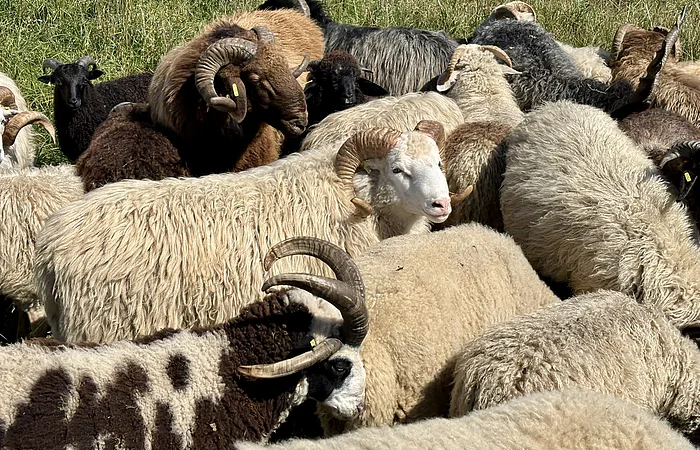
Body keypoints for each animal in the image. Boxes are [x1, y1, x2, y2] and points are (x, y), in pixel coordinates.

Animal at [34, 122, 454, 344]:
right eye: (398, 169)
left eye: (438, 162)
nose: (442, 205)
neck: (354, 197)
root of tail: (50, 244)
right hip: (101, 325)